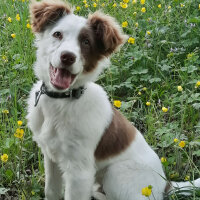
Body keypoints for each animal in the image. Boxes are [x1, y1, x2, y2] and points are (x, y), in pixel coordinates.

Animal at [27, 0, 200, 199]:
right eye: (57, 34)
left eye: (86, 42)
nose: (68, 57)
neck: (61, 101)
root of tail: (165, 184)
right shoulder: (50, 156)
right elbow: (51, 191)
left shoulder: (79, 171)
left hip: (116, 172)